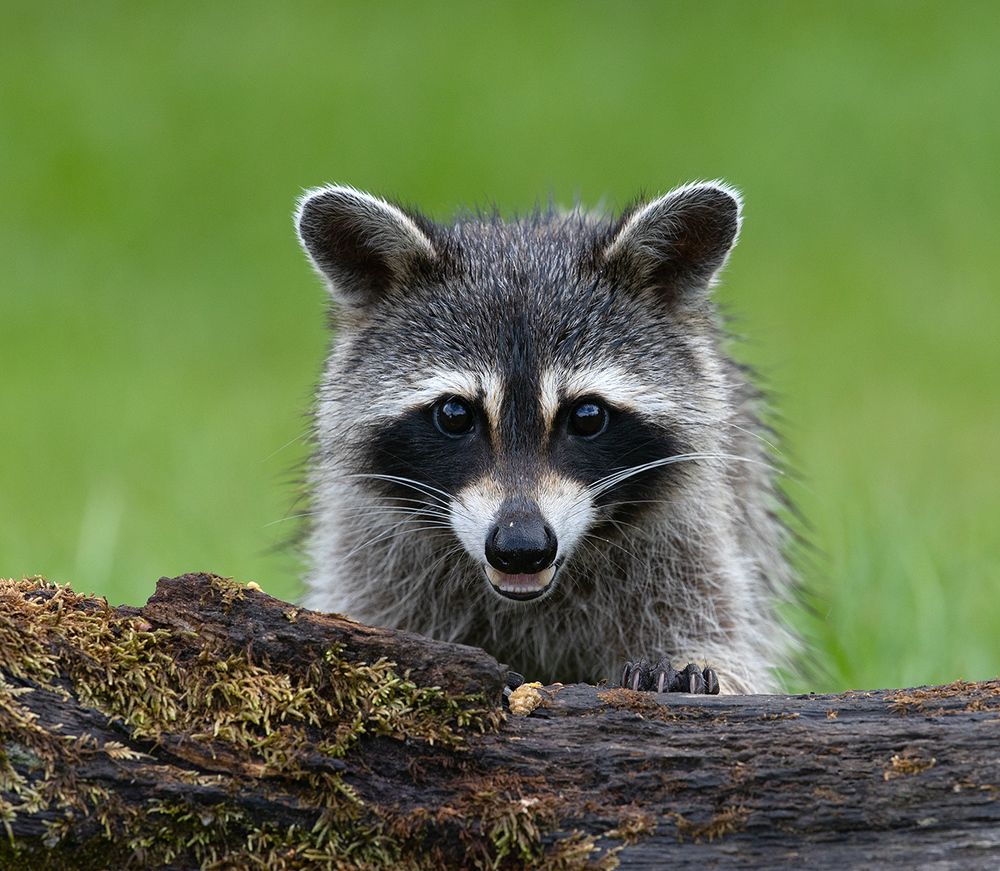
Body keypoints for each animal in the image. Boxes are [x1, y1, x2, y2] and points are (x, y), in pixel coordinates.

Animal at [295, 181, 795, 694]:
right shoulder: (373, 552)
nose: (521, 548)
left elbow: (720, 637)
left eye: (588, 416)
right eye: (455, 414)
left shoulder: (688, 540)